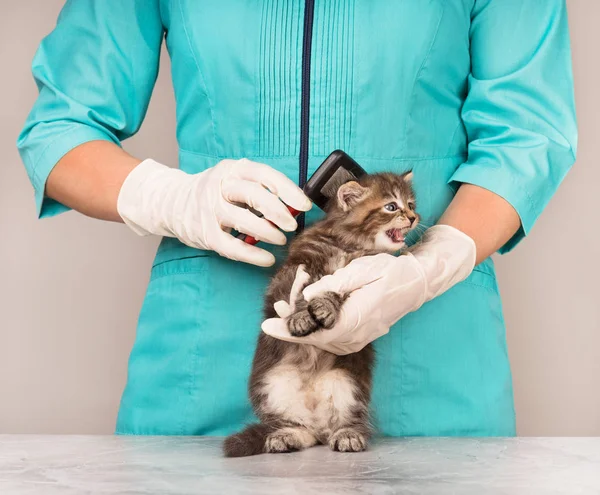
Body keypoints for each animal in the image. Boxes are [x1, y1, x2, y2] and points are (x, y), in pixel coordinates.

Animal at [224, 171, 418, 458]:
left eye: (411, 205)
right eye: (392, 206)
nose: (414, 217)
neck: (349, 245)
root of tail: (315, 416)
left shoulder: (361, 275)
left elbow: (334, 289)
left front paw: (325, 306)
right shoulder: (294, 268)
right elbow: (294, 294)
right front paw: (300, 317)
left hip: (348, 384)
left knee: (345, 421)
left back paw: (348, 435)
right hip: (273, 384)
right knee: (297, 426)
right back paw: (287, 436)